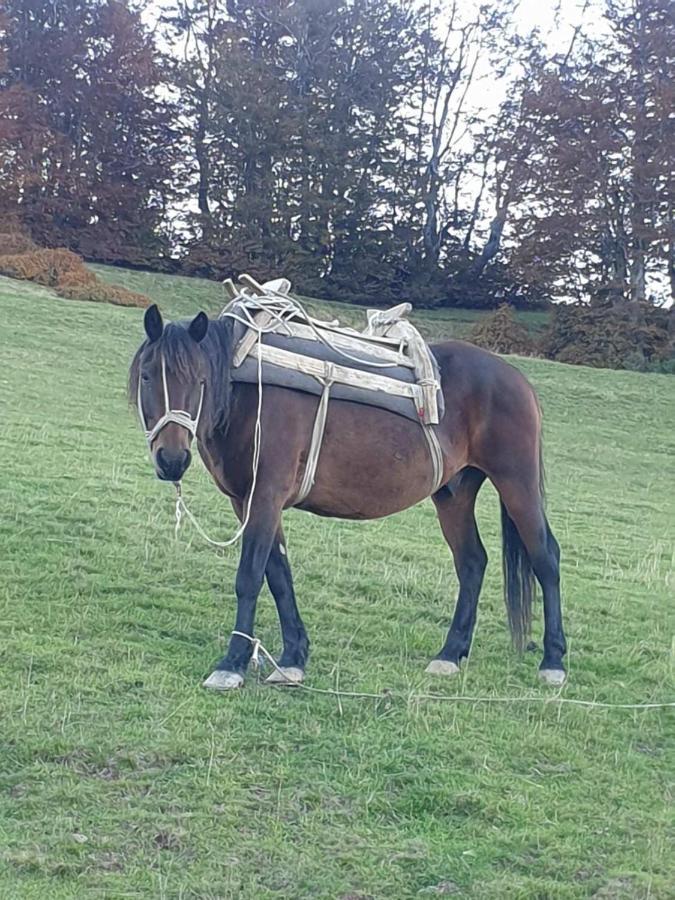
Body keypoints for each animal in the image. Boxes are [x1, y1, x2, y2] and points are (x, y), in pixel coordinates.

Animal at [129, 306, 568, 692]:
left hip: (516, 482)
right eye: (148, 376)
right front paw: (293, 658)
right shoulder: (247, 502)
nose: (172, 459)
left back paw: (553, 661)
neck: (251, 389)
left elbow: (250, 577)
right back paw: (449, 654)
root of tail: (517, 379)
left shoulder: (265, 495)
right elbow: (279, 574)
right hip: (454, 493)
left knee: (545, 557)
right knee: (473, 562)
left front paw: (232, 663)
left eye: (200, 379)